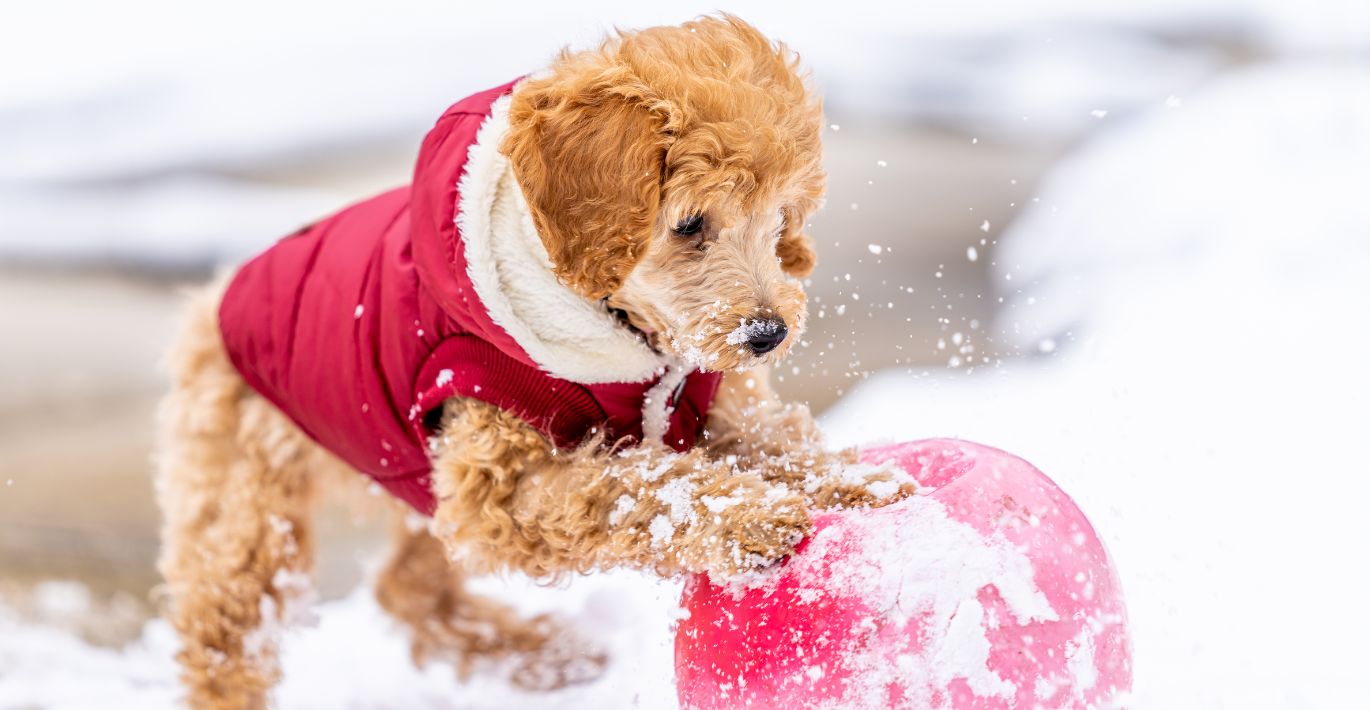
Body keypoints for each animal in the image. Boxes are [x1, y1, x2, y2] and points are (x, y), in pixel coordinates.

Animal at [155, 13, 909, 707]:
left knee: (409, 585)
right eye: (691, 224)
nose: (767, 333)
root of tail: (218, 295)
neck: (629, 336)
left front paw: (858, 482)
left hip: (415, 478)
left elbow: (776, 442)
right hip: (248, 500)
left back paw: (540, 657)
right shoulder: (502, 479)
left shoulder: (715, 405)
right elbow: (636, 487)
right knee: (225, 634)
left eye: (781, 221)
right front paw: (749, 517)